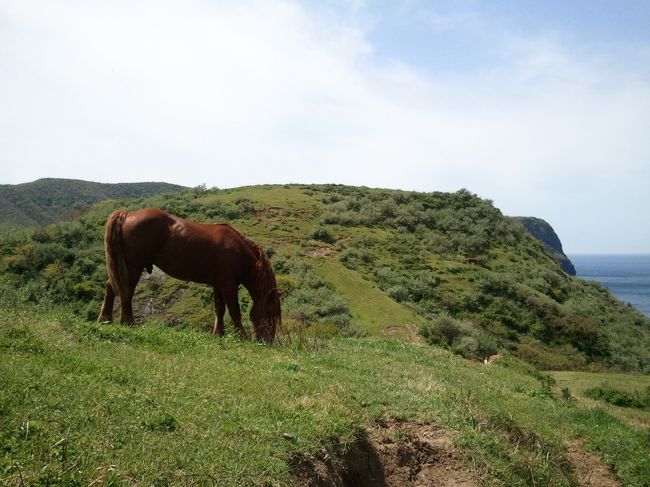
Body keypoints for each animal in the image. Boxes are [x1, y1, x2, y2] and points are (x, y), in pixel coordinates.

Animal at [97, 209, 280, 344]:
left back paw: (105, 319)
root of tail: (128, 214)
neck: (238, 252)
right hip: (133, 267)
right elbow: (235, 311)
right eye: (271, 314)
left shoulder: (218, 284)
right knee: (126, 292)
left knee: (111, 287)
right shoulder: (229, 286)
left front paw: (218, 334)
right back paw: (128, 322)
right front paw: (241, 336)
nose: (267, 342)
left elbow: (219, 309)